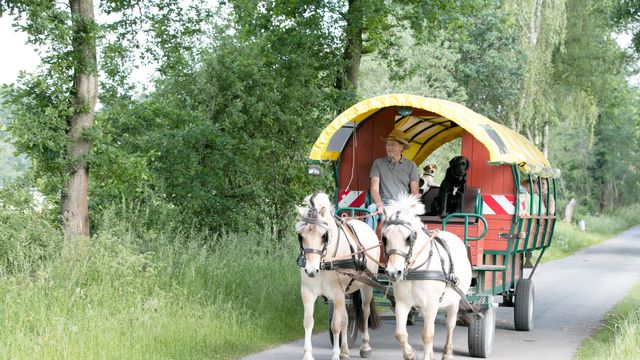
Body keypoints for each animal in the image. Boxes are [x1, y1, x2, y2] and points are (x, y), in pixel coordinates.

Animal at [298, 193, 382, 360]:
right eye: (301, 236)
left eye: (323, 235)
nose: (311, 270)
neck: (324, 261)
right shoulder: (307, 292)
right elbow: (308, 322)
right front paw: (308, 355)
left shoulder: (337, 293)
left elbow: (335, 325)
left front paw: (335, 355)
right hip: (347, 291)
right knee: (346, 318)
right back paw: (345, 351)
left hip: (366, 285)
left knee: (365, 312)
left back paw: (365, 347)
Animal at [382, 194, 472, 360]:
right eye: (385, 238)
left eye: (408, 238)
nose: (393, 272)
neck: (416, 269)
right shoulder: (402, 303)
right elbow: (400, 334)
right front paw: (410, 354)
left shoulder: (431, 304)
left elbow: (427, 335)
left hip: (454, 301)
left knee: (450, 325)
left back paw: (447, 352)